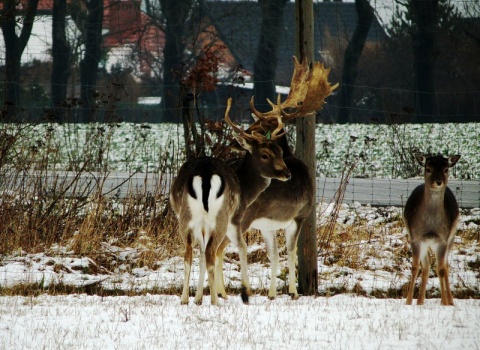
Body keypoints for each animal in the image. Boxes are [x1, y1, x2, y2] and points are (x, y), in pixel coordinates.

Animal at [404, 152, 462, 304]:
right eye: (428, 169)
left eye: (446, 169)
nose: (438, 181)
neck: (430, 226)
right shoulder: (415, 238)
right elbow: (415, 267)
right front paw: (408, 302)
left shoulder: (443, 240)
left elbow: (441, 269)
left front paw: (445, 303)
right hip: (425, 243)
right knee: (427, 265)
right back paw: (420, 301)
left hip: (451, 237)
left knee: (444, 265)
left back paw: (449, 301)